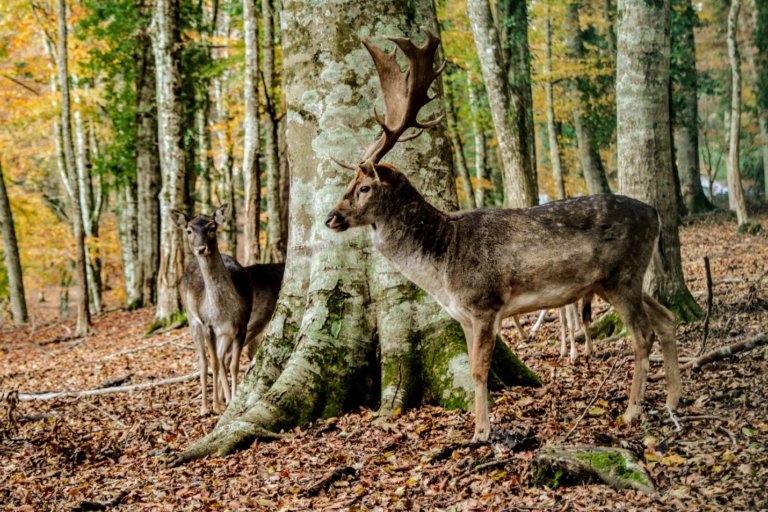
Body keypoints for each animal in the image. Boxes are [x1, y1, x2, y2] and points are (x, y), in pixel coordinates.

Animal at [171, 205, 284, 416]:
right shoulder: (208, 325)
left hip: (235, 329)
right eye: (189, 230)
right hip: (193, 320)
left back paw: (224, 399)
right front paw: (215, 405)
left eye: (212, 227)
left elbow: (232, 364)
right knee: (205, 361)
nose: (200, 249)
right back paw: (205, 407)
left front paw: (230, 401)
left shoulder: (241, 324)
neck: (223, 310)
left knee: (224, 357)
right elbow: (214, 363)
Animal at [320, 30, 680, 442]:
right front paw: (477, 428)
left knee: (643, 334)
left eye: (364, 187)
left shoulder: (485, 302)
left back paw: (633, 411)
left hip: (622, 274)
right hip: (619, 279)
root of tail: (654, 213)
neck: (444, 262)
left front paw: (481, 432)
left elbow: (479, 370)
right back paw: (673, 401)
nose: (330, 218)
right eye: (348, 183)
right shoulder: (462, 314)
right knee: (667, 318)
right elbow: (474, 367)